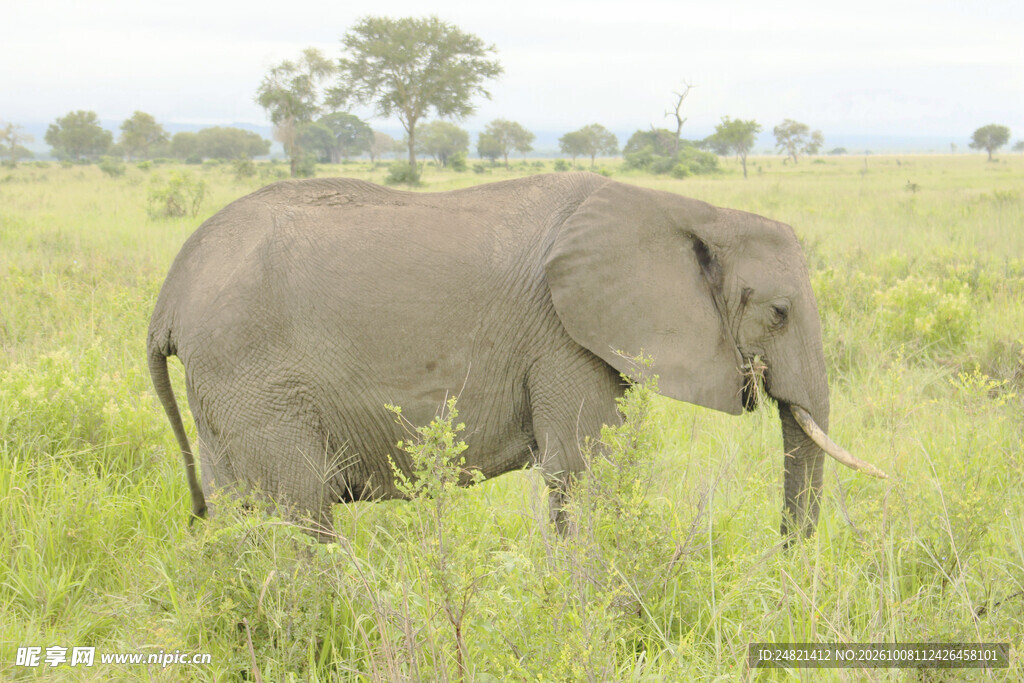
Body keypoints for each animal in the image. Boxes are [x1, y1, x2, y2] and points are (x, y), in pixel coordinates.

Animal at [148, 173, 885, 541]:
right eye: (778, 313)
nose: (783, 554)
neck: (688, 208)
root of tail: (169, 295)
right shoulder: (560, 335)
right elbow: (583, 471)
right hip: (252, 373)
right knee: (297, 511)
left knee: (241, 510)